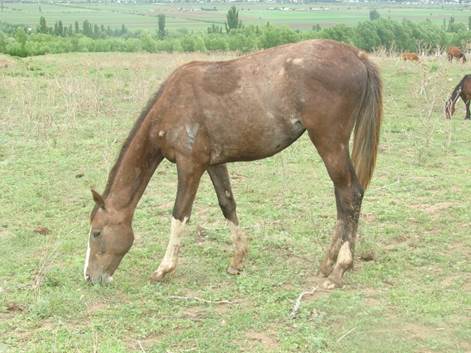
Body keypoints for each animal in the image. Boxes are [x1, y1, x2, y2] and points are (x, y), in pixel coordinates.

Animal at [84, 40, 384, 288]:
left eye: (97, 233)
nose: (89, 277)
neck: (173, 103)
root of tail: (356, 56)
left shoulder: (189, 165)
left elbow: (179, 214)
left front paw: (164, 269)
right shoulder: (214, 163)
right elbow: (227, 204)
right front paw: (237, 260)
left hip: (330, 143)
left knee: (350, 194)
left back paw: (340, 269)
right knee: (341, 198)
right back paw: (327, 263)